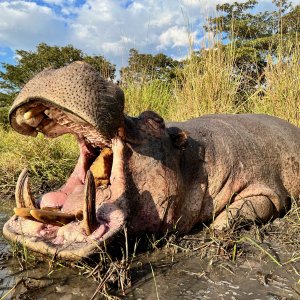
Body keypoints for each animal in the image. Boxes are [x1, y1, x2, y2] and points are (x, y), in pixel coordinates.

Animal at [2, 61, 300, 260]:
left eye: (155, 119)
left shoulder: (268, 190)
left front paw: (217, 226)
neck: (190, 157)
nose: (66, 66)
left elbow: (242, 211)